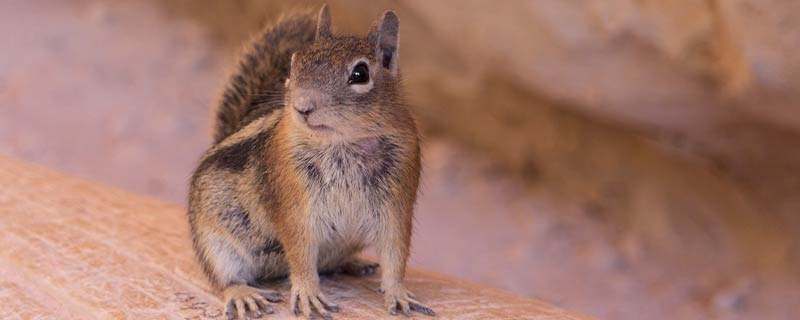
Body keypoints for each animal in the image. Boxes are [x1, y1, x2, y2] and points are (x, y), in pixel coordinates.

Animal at [188, 3, 434, 318]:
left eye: (360, 73)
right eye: (294, 63)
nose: (302, 106)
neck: (342, 143)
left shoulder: (397, 204)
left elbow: (396, 255)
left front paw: (398, 293)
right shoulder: (294, 204)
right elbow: (301, 253)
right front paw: (308, 293)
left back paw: (353, 262)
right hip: (214, 242)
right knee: (225, 279)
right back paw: (243, 293)